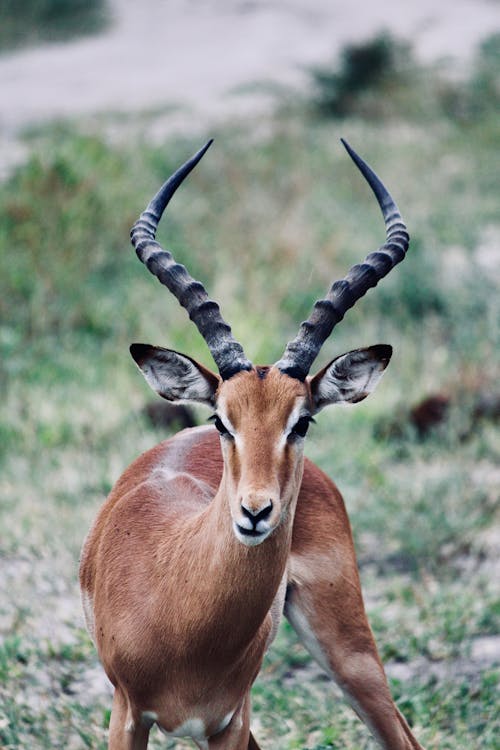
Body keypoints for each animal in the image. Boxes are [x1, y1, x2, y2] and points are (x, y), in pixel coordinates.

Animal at [80, 141, 424, 750]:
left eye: (302, 422)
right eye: (222, 420)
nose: (255, 512)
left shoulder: (228, 721)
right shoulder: (128, 715)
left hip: (346, 645)